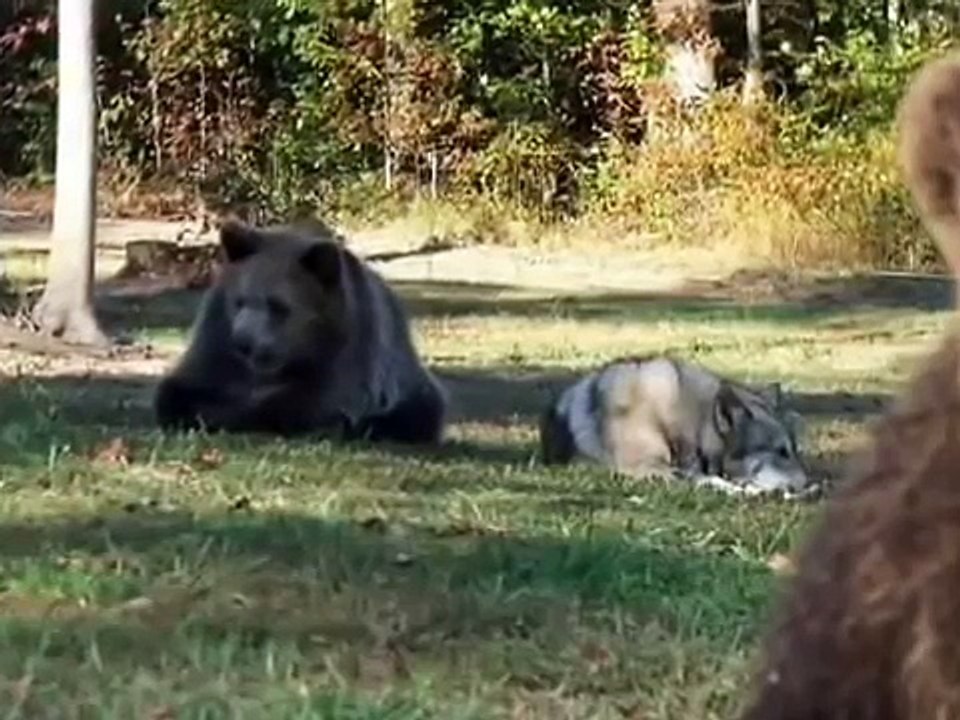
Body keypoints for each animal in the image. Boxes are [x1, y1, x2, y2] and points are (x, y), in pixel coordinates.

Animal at [154, 218, 447, 445]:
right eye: (239, 301)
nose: (243, 341)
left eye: (278, 306)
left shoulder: (348, 359)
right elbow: (181, 390)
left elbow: (308, 403)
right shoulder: (215, 346)